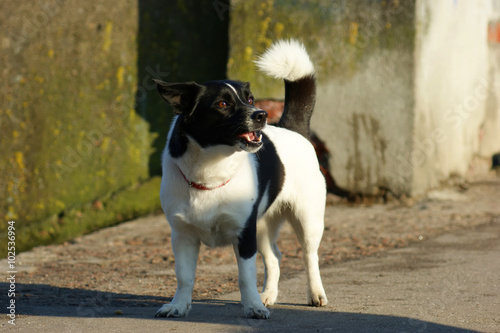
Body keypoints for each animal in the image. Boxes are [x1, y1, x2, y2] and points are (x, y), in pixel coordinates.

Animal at [156, 40, 328, 318]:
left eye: (249, 99)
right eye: (222, 104)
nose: (261, 114)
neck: (211, 169)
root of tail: (292, 129)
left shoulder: (245, 234)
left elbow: (246, 277)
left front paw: (253, 307)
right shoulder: (183, 237)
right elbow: (184, 277)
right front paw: (179, 305)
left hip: (307, 220)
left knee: (310, 257)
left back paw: (315, 294)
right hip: (264, 226)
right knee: (275, 258)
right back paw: (268, 295)